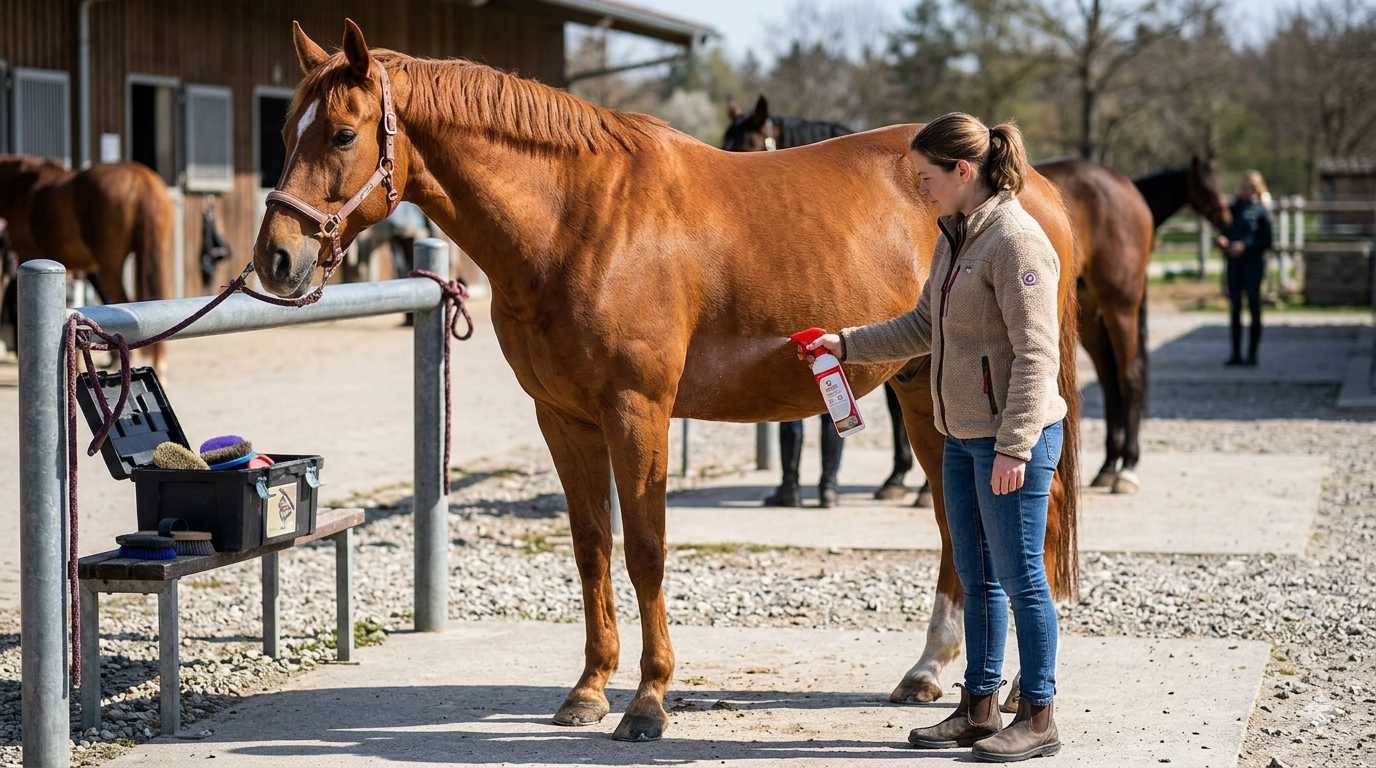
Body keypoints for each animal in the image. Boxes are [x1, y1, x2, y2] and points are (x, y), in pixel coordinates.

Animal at [257, 20, 1081, 742]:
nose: (276, 259)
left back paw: (1010, 691)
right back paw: (929, 673)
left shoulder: (637, 411)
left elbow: (646, 549)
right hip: (922, 392)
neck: (578, 218)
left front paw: (648, 701)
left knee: (1019, 525)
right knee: (953, 524)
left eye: (342, 134)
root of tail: (1033, 187)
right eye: (286, 131)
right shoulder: (563, 418)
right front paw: (589, 690)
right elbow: (592, 545)